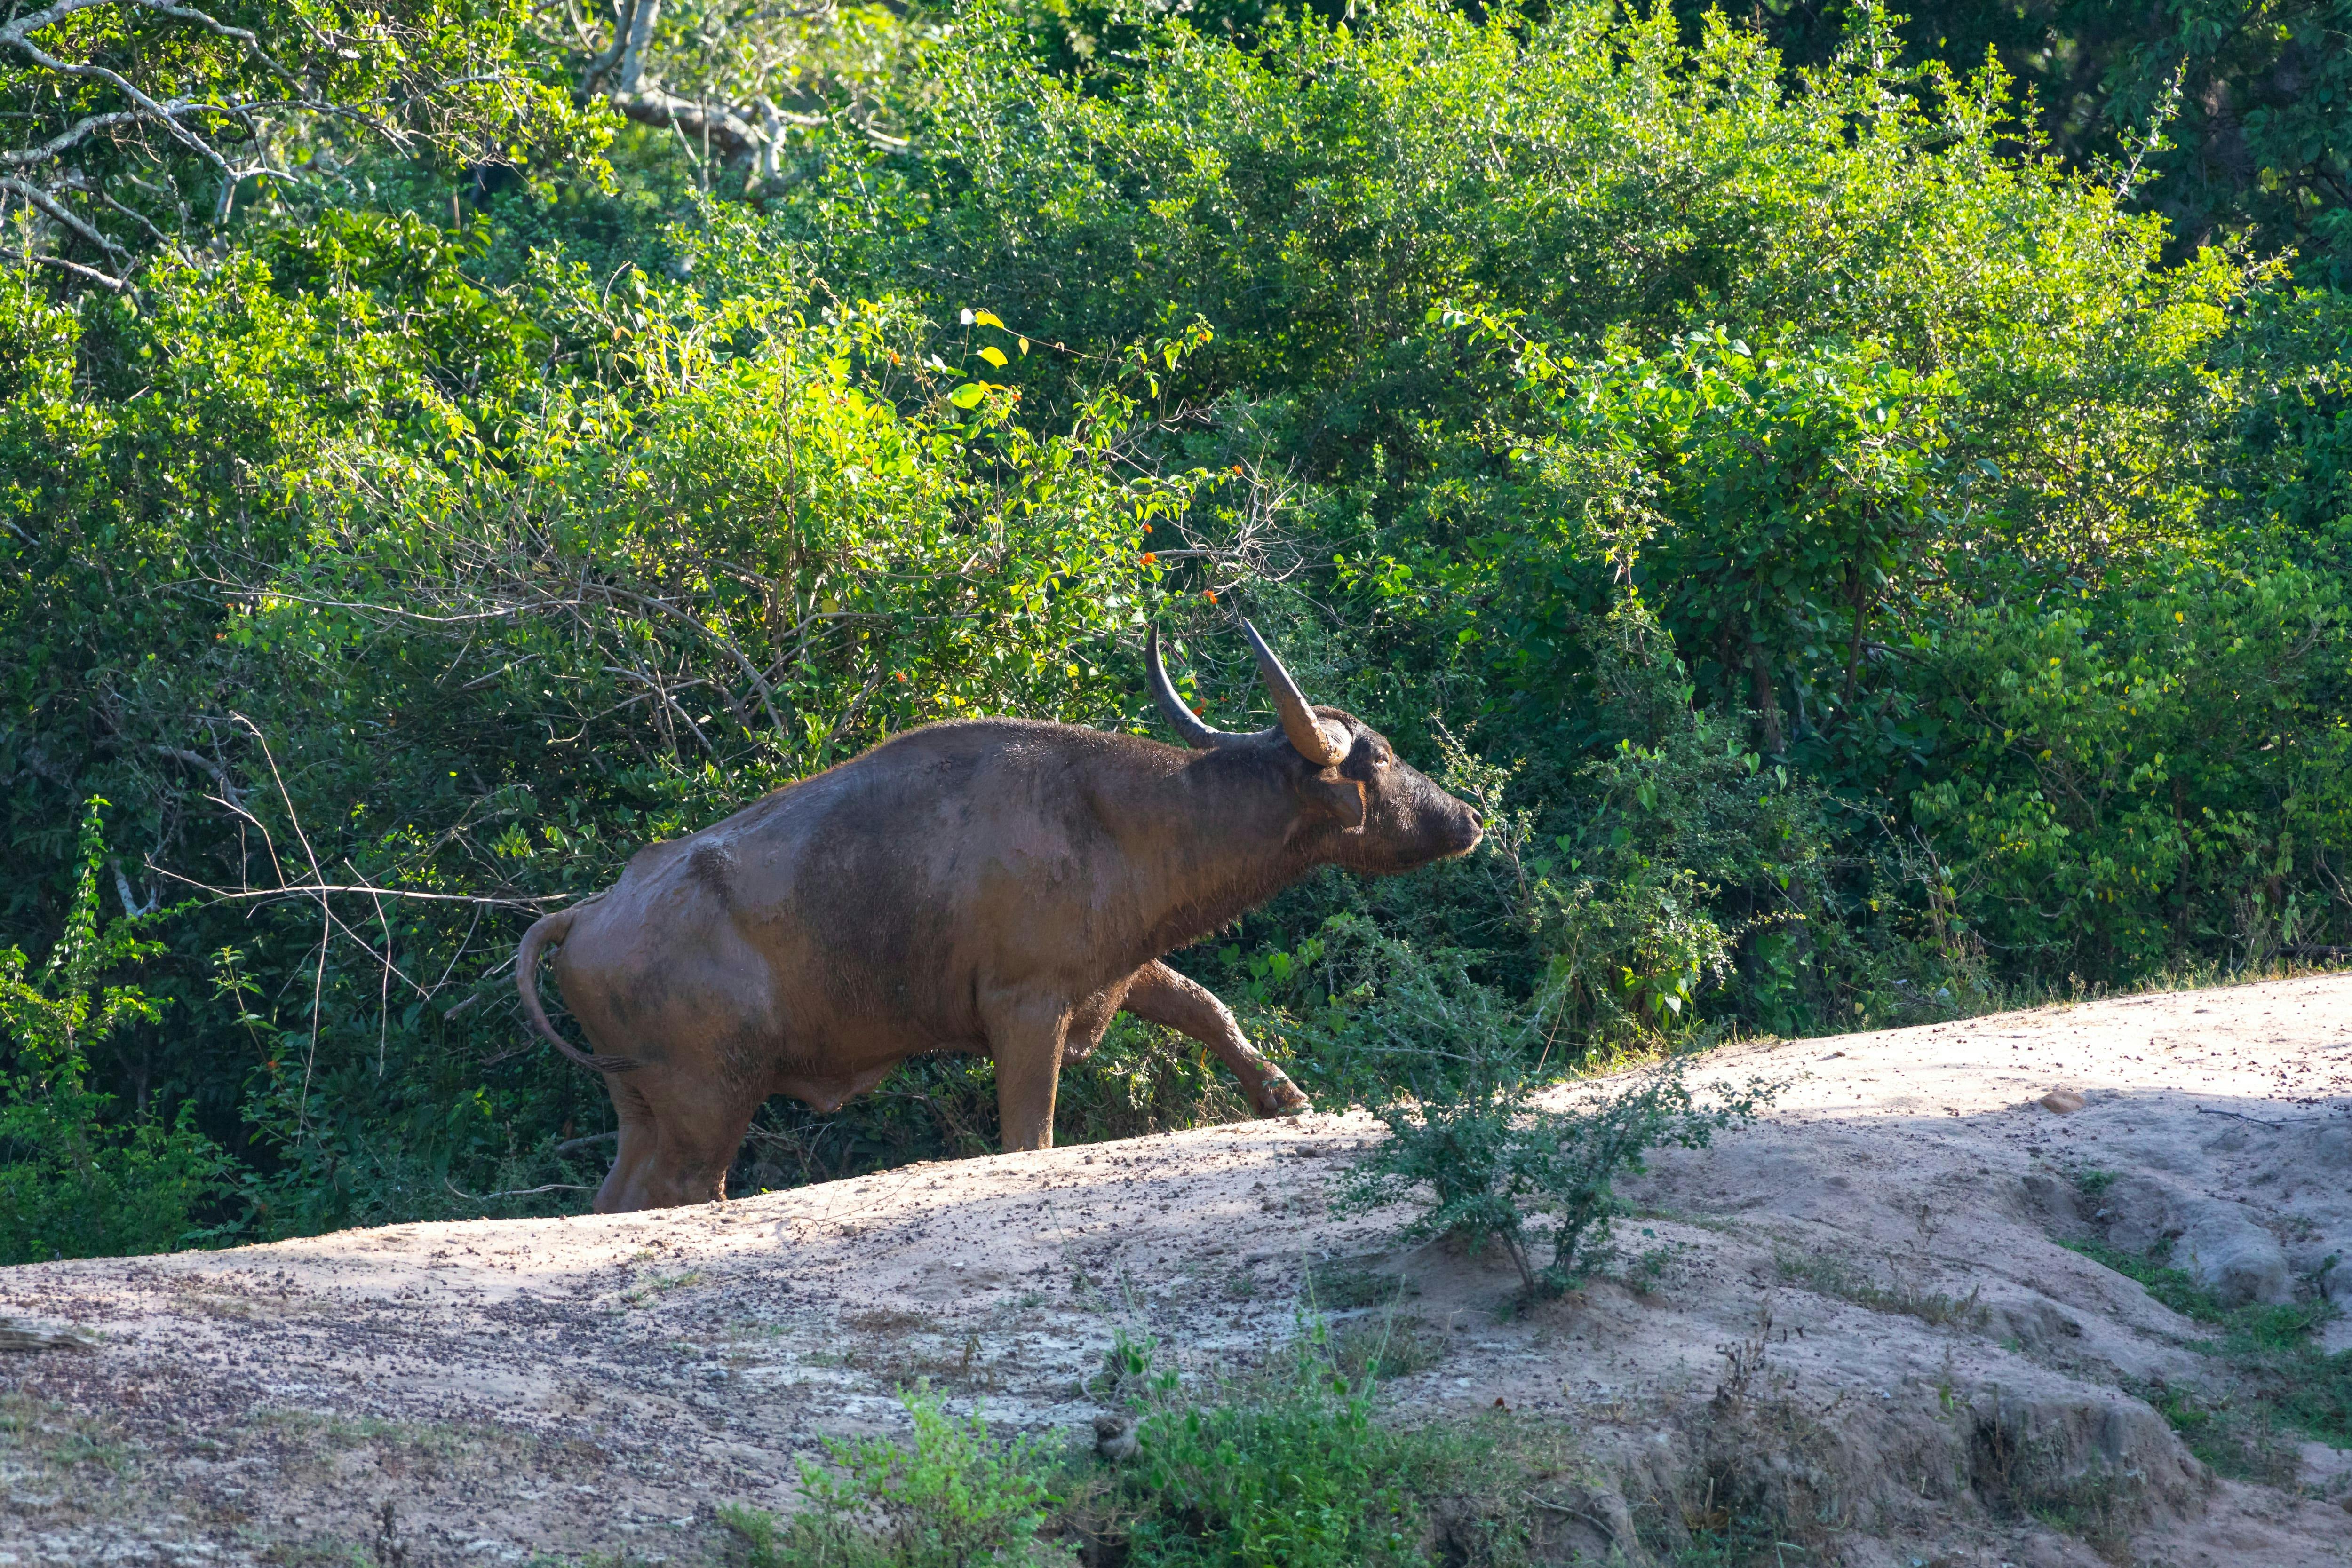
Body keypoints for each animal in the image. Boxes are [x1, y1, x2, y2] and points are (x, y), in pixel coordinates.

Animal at [522, 625, 1477, 1213]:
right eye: (1383, 758)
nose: (1468, 816)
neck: (1112, 816)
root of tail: (588, 911)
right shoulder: (1028, 1010)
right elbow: (1033, 1134)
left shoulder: (1116, 969)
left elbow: (1206, 1005)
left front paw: (1284, 1094)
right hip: (710, 1103)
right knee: (684, 1191)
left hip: (643, 1107)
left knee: (616, 1199)